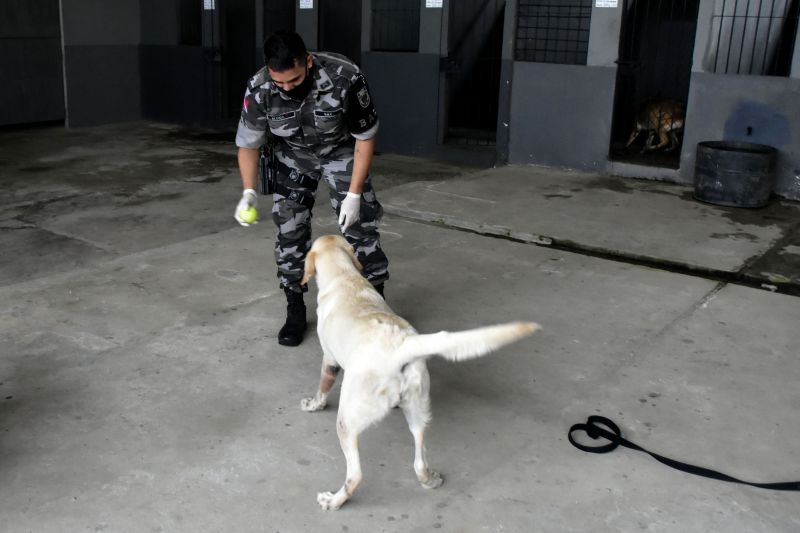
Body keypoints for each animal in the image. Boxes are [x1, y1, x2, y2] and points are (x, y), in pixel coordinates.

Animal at [304, 235, 540, 510]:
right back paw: (429, 480)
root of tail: (402, 345)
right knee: (419, 459)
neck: (344, 275)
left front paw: (313, 405)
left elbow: (322, 387)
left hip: (347, 420)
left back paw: (334, 500)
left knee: (356, 475)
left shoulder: (329, 359)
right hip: (418, 410)